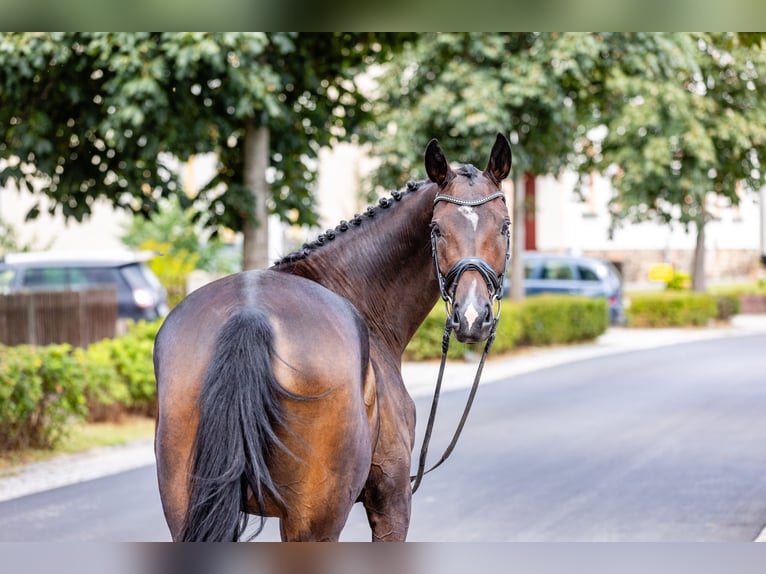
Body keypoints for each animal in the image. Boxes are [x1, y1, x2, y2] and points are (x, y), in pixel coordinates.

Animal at [152, 133, 512, 544]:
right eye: (436, 229)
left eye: (504, 226)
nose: (472, 316)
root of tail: (250, 314)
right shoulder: (392, 497)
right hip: (318, 519)